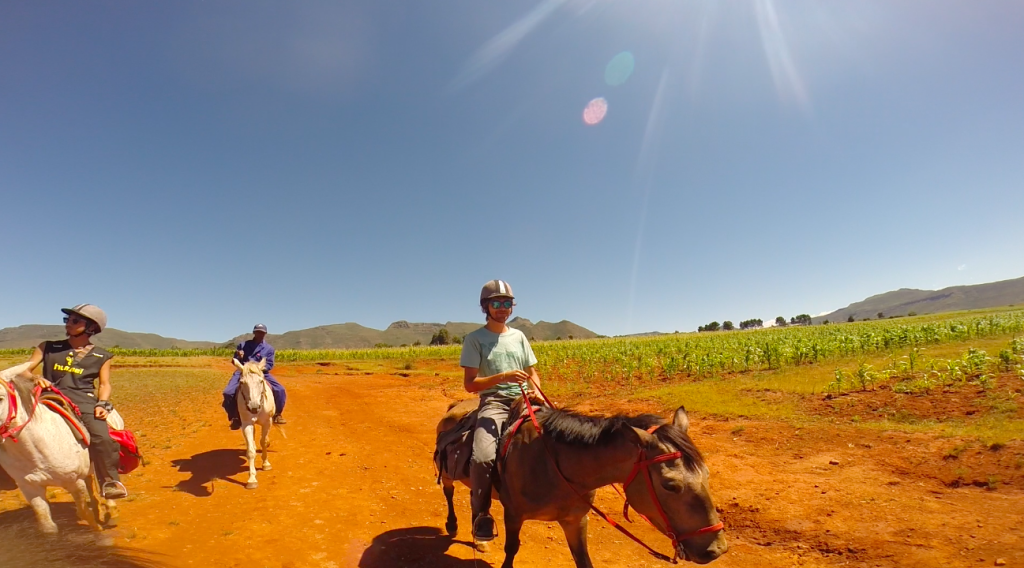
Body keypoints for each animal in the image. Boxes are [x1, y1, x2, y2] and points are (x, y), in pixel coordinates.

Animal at [0, 364, 115, 532]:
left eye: (0, 398)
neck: (36, 449)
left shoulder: (75, 482)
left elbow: (84, 512)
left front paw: (99, 533)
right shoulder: (30, 488)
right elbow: (46, 524)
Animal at [233, 360, 274, 489]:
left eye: (261, 381)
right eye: (242, 382)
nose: (254, 407)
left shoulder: (267, 422)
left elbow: (264, 442)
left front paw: (266, 464)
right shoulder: (247, 424)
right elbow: (251, 451)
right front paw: (251, 479)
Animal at [436, 399, 724, 568]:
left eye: (707, 475)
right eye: (669, 485)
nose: (717, 549)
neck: (553, 464)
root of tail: (454, 406)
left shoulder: (575, 521)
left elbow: (583, 560)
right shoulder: (514, 514)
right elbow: (511, 550)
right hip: (450, 473)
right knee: (450, 492)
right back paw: (453, 525)